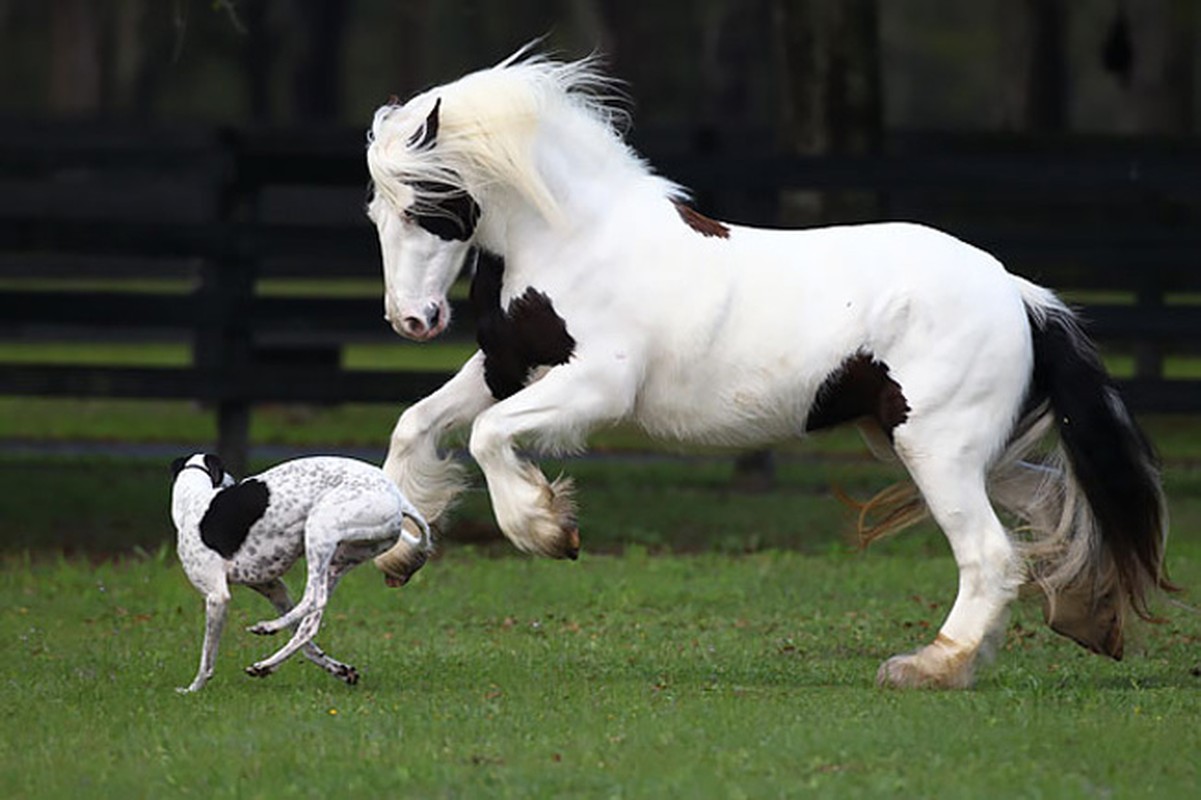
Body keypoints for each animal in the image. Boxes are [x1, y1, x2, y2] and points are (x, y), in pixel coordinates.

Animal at [169, 451, 432, 687]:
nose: (235, 480)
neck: (192, 499)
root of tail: (397, 496)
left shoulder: (217, 597)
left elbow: (207, 657)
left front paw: (194, 688)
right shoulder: (274, 589)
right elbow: (308, 644)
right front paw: (340, 670)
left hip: (319, 528)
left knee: (314, 598)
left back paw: (268, 628)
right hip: (338, 560)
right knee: (309, 624)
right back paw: (267, 664)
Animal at [365, 48, 1172, 687]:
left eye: (422, 208)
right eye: (378, 213)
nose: (412, 321)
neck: (575, 239)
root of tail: (1020, 293)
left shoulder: (596, 386)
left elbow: (488, 437)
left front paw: (545, 528)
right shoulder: (506, 366)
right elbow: (415, 426)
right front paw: (401, 553)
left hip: (938, 448)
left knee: (990, 555)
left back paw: (929, 667)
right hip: (940, 446)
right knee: (1046, 501)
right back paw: (1084, 617)